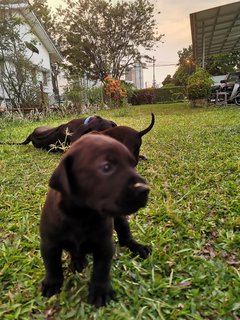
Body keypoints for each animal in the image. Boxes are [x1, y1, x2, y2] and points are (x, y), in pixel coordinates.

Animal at [40, 134, 151, 306]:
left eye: (133, 165)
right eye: (106, 167)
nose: (145, 189)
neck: (81, 215)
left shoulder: (104, 246)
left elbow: (101, 270)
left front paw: (100, 292)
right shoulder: (49, 244)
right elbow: (52, 265)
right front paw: (52, 283)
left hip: (120, 220)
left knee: (125, 237)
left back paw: (138, 247)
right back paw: (78, 261)